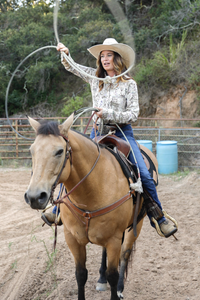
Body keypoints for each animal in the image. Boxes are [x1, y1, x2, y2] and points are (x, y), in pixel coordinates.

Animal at [24, 114, 152, 300]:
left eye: (59, 151)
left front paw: (115, 287)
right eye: (32, 150)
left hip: (136, 225)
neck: (91, 192)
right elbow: (81, 274)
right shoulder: (72, 238)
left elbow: (113, 275)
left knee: (125, 255)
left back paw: (120, 288)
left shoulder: (114, 239)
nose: (34, 197)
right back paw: (101, 279)